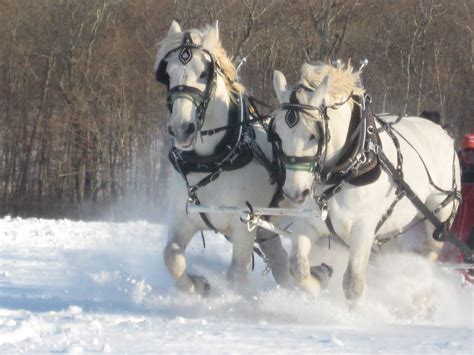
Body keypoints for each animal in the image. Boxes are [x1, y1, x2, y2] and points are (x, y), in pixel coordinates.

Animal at [154, 20, 290, 296]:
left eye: (203, 73)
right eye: (168, 74)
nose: (181, 129)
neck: (213, 162)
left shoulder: (245, 223)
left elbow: (237, 274)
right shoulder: (184, 216)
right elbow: (171, 257)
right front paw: (199, 285)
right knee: (280, 259)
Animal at [272, 62, 462, 302]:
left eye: (313, 135)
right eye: (278, 135)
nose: (295, 193)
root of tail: (442, 130)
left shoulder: (363, 228)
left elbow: (353, 283)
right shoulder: (309, 222)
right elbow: (297, 266)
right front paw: (318, 281)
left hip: (440, 213)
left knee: (429, 253)